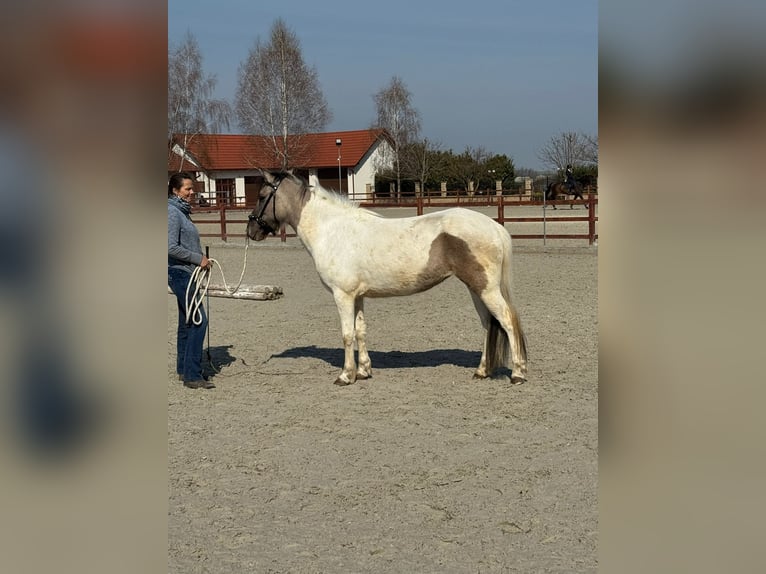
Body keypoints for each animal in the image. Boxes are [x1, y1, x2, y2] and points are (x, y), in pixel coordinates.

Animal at [246, 170, 528, 386]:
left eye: (261, 196)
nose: (251, 230)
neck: (332, 230)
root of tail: (495, 226)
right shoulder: (357, 297)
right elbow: (361, 332)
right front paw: (363, 371)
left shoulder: (342, 296)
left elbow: (347, 334)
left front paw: (346, 376)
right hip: (476, 289)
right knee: (488, 325)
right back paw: (482, 371)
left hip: (486, 290)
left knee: (507, 321)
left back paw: (518, 373)